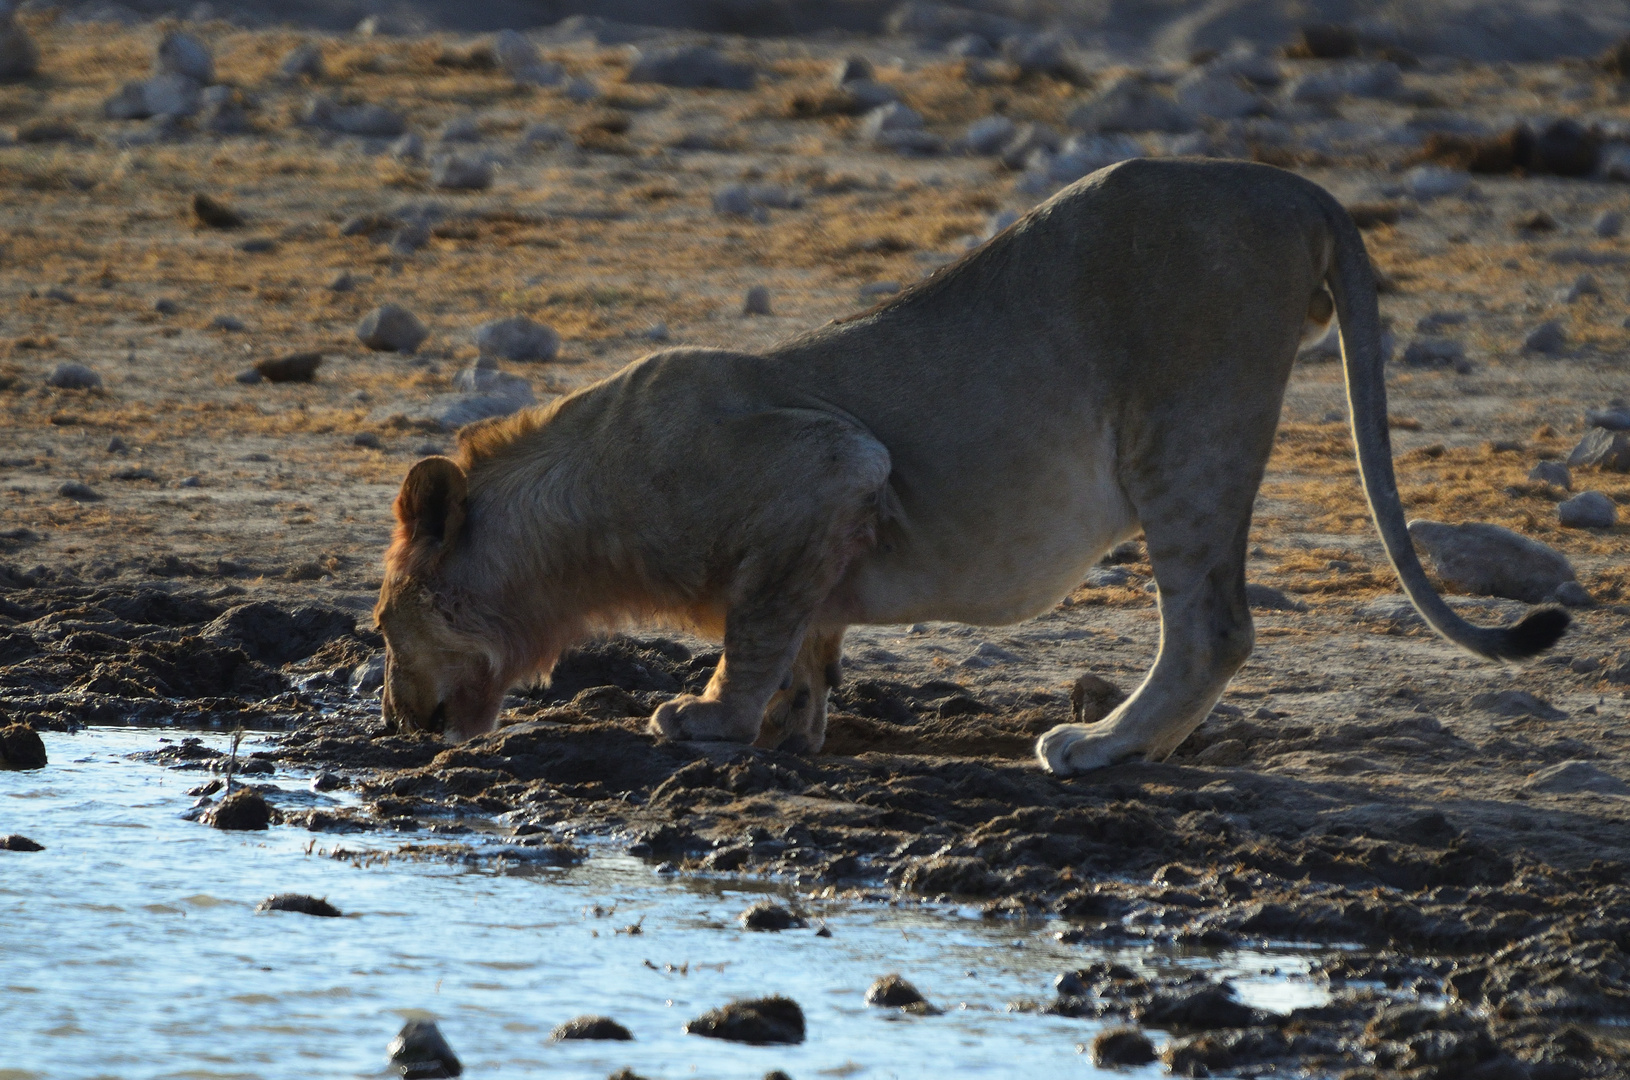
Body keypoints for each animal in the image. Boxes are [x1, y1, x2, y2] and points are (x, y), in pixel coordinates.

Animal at [373, 156, 1564, 772]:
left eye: (385, 627)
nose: (390, 716)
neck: (576, 520)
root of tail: (1296, 186)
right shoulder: (831, 514)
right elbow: (801, 633)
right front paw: (794, 727)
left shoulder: (829, 460)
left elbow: (754, 628)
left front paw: (708, 720)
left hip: (1186, 432)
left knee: (1216, 625)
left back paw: (1102, 745)